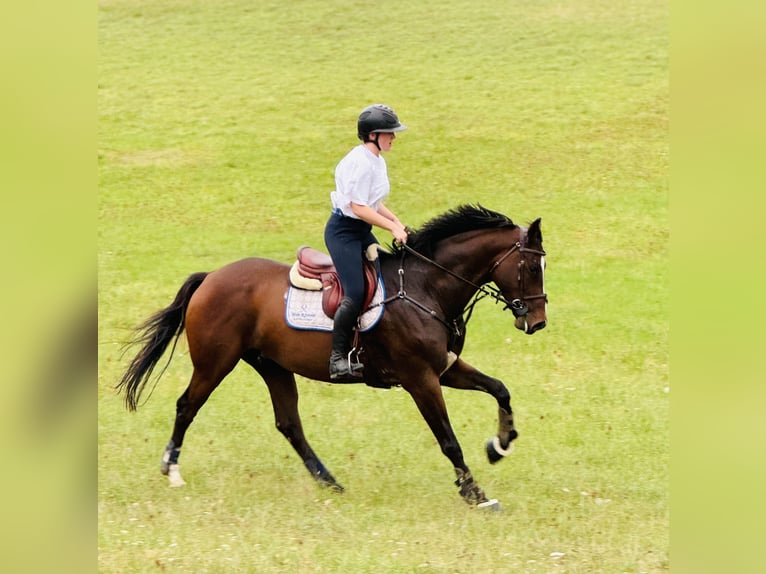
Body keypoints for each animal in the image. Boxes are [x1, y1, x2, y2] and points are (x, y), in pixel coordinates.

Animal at [117, 205, 548, 510]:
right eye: (530, 265)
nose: (538, 322)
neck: (428, 287)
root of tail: (211, 277)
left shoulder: (444, 368)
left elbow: (500, 389)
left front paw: (500, 444)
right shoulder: (420, 378)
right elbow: (448, 440)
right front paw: (476, 493)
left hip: (272, 365)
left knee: (288, 423)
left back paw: (329, 481)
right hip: (215, 363)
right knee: (187, 406)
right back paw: (172, 470)